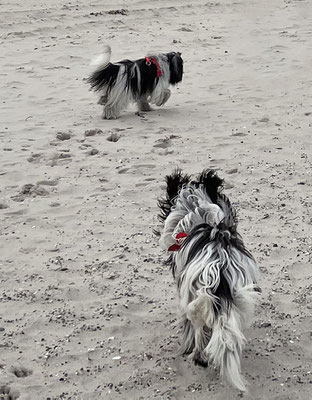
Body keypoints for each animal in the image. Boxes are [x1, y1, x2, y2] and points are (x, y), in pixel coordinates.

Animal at [157, 168, 260, 390]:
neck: (197, 211)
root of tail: (218, 267)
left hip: (195, 301)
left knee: (198, 333)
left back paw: (199, 357)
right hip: (239, 299)